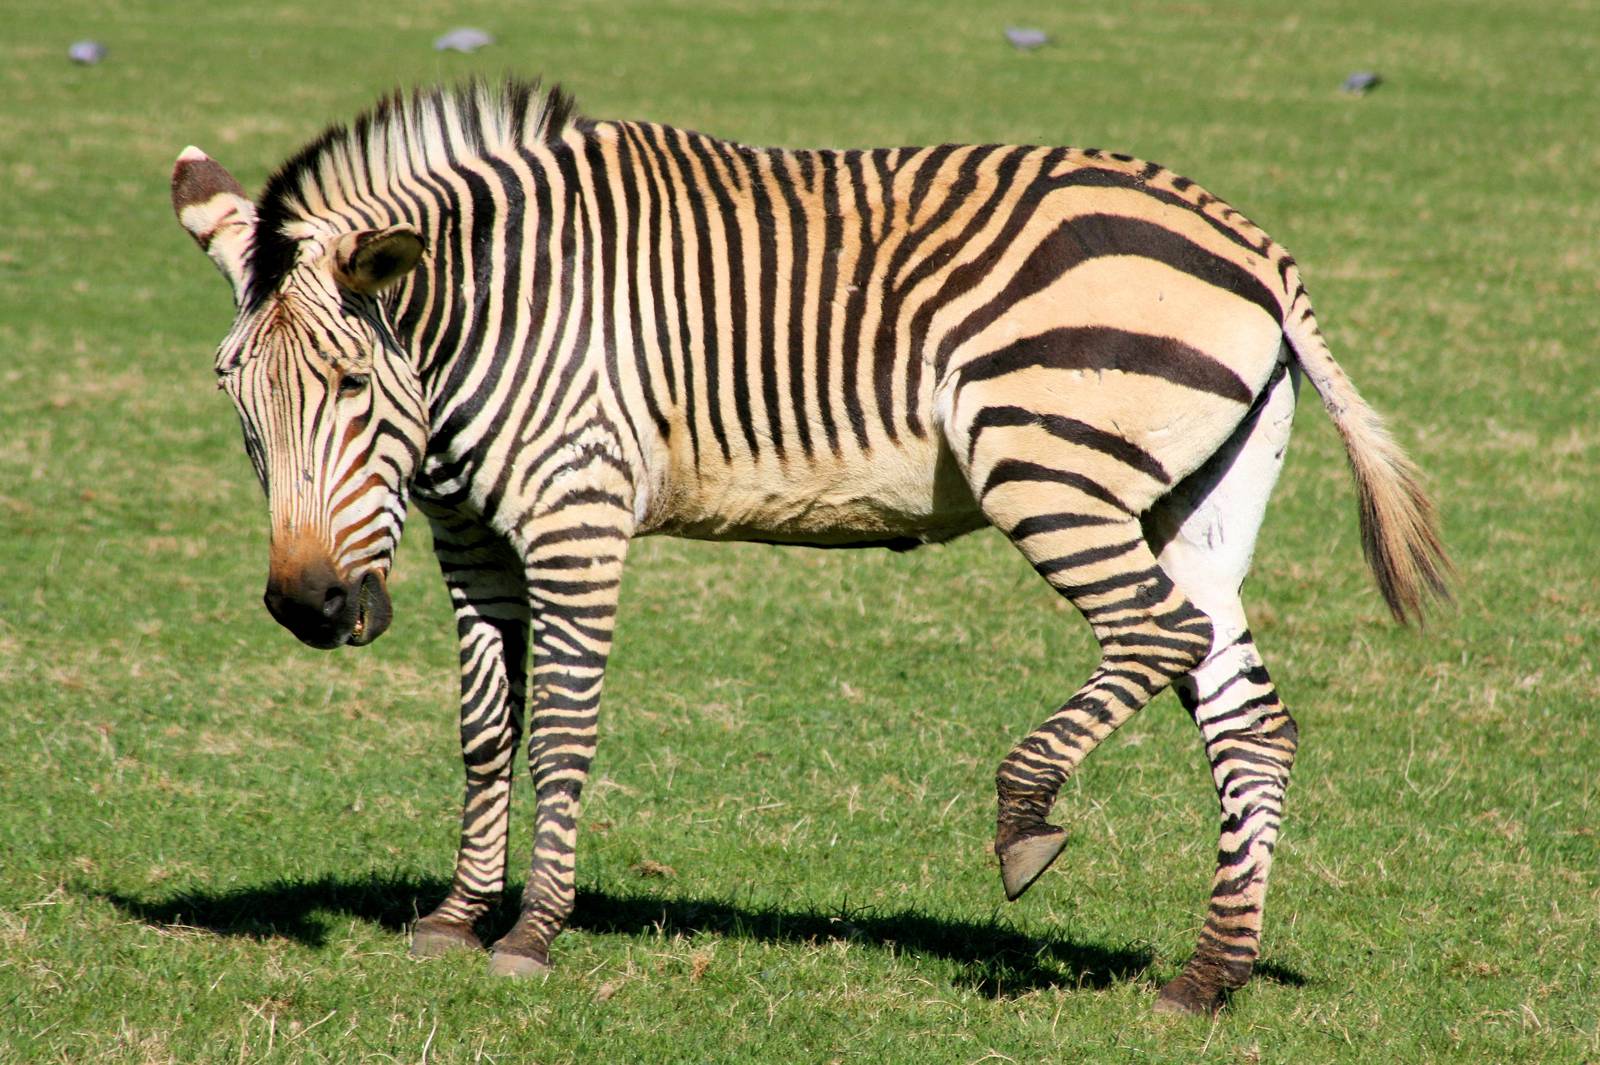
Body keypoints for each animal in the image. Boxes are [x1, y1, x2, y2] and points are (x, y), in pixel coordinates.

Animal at [170, 78, 1448, 1014]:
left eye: (348, 385)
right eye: (234, 392)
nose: (308, 608)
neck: (494, 315)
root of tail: (1256, 251)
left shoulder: (576, 515)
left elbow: (563, 735)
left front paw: (530, 934)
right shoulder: (471, 540)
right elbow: (487, 732)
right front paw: (450, 918)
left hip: (1045, 461)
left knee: (1157, 632)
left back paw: (1025, 819)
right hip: (1199, 503)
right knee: (1250, 723)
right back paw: (1206, 976)